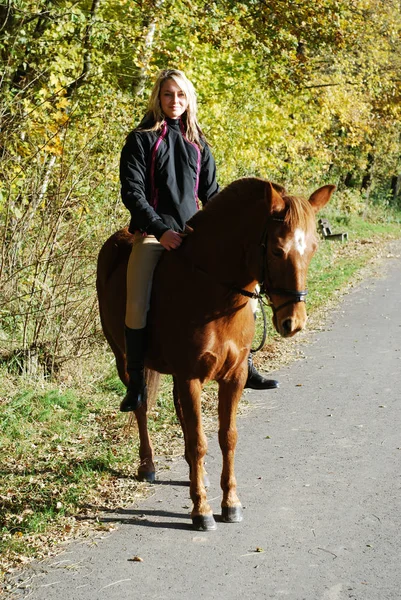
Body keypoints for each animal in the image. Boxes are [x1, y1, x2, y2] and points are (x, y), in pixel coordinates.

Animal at [95, 177, 332, 528]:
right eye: (277, 250)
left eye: (313, 248)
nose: (294, 323)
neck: (210, 289)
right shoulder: (190, 377)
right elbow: (199, 442)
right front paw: (202, 510)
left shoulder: (233, 377)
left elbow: (226, 437)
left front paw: (230, 502)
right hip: (124, 359)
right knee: (140, 406)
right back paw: (148, 465)